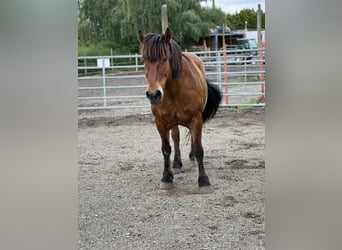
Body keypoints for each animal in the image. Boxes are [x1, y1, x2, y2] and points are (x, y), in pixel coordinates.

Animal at [139, 27, 222, 188]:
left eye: (165, 59)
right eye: (144, 59)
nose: (153, 94)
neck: (174, 90)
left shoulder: (196, 118)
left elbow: (199, 148)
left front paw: (203, 179)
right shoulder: (160, 121)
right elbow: (166, 149)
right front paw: (166, 177)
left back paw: (192, 156)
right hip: (173, 121)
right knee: (176, 137)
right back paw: (177, 162)